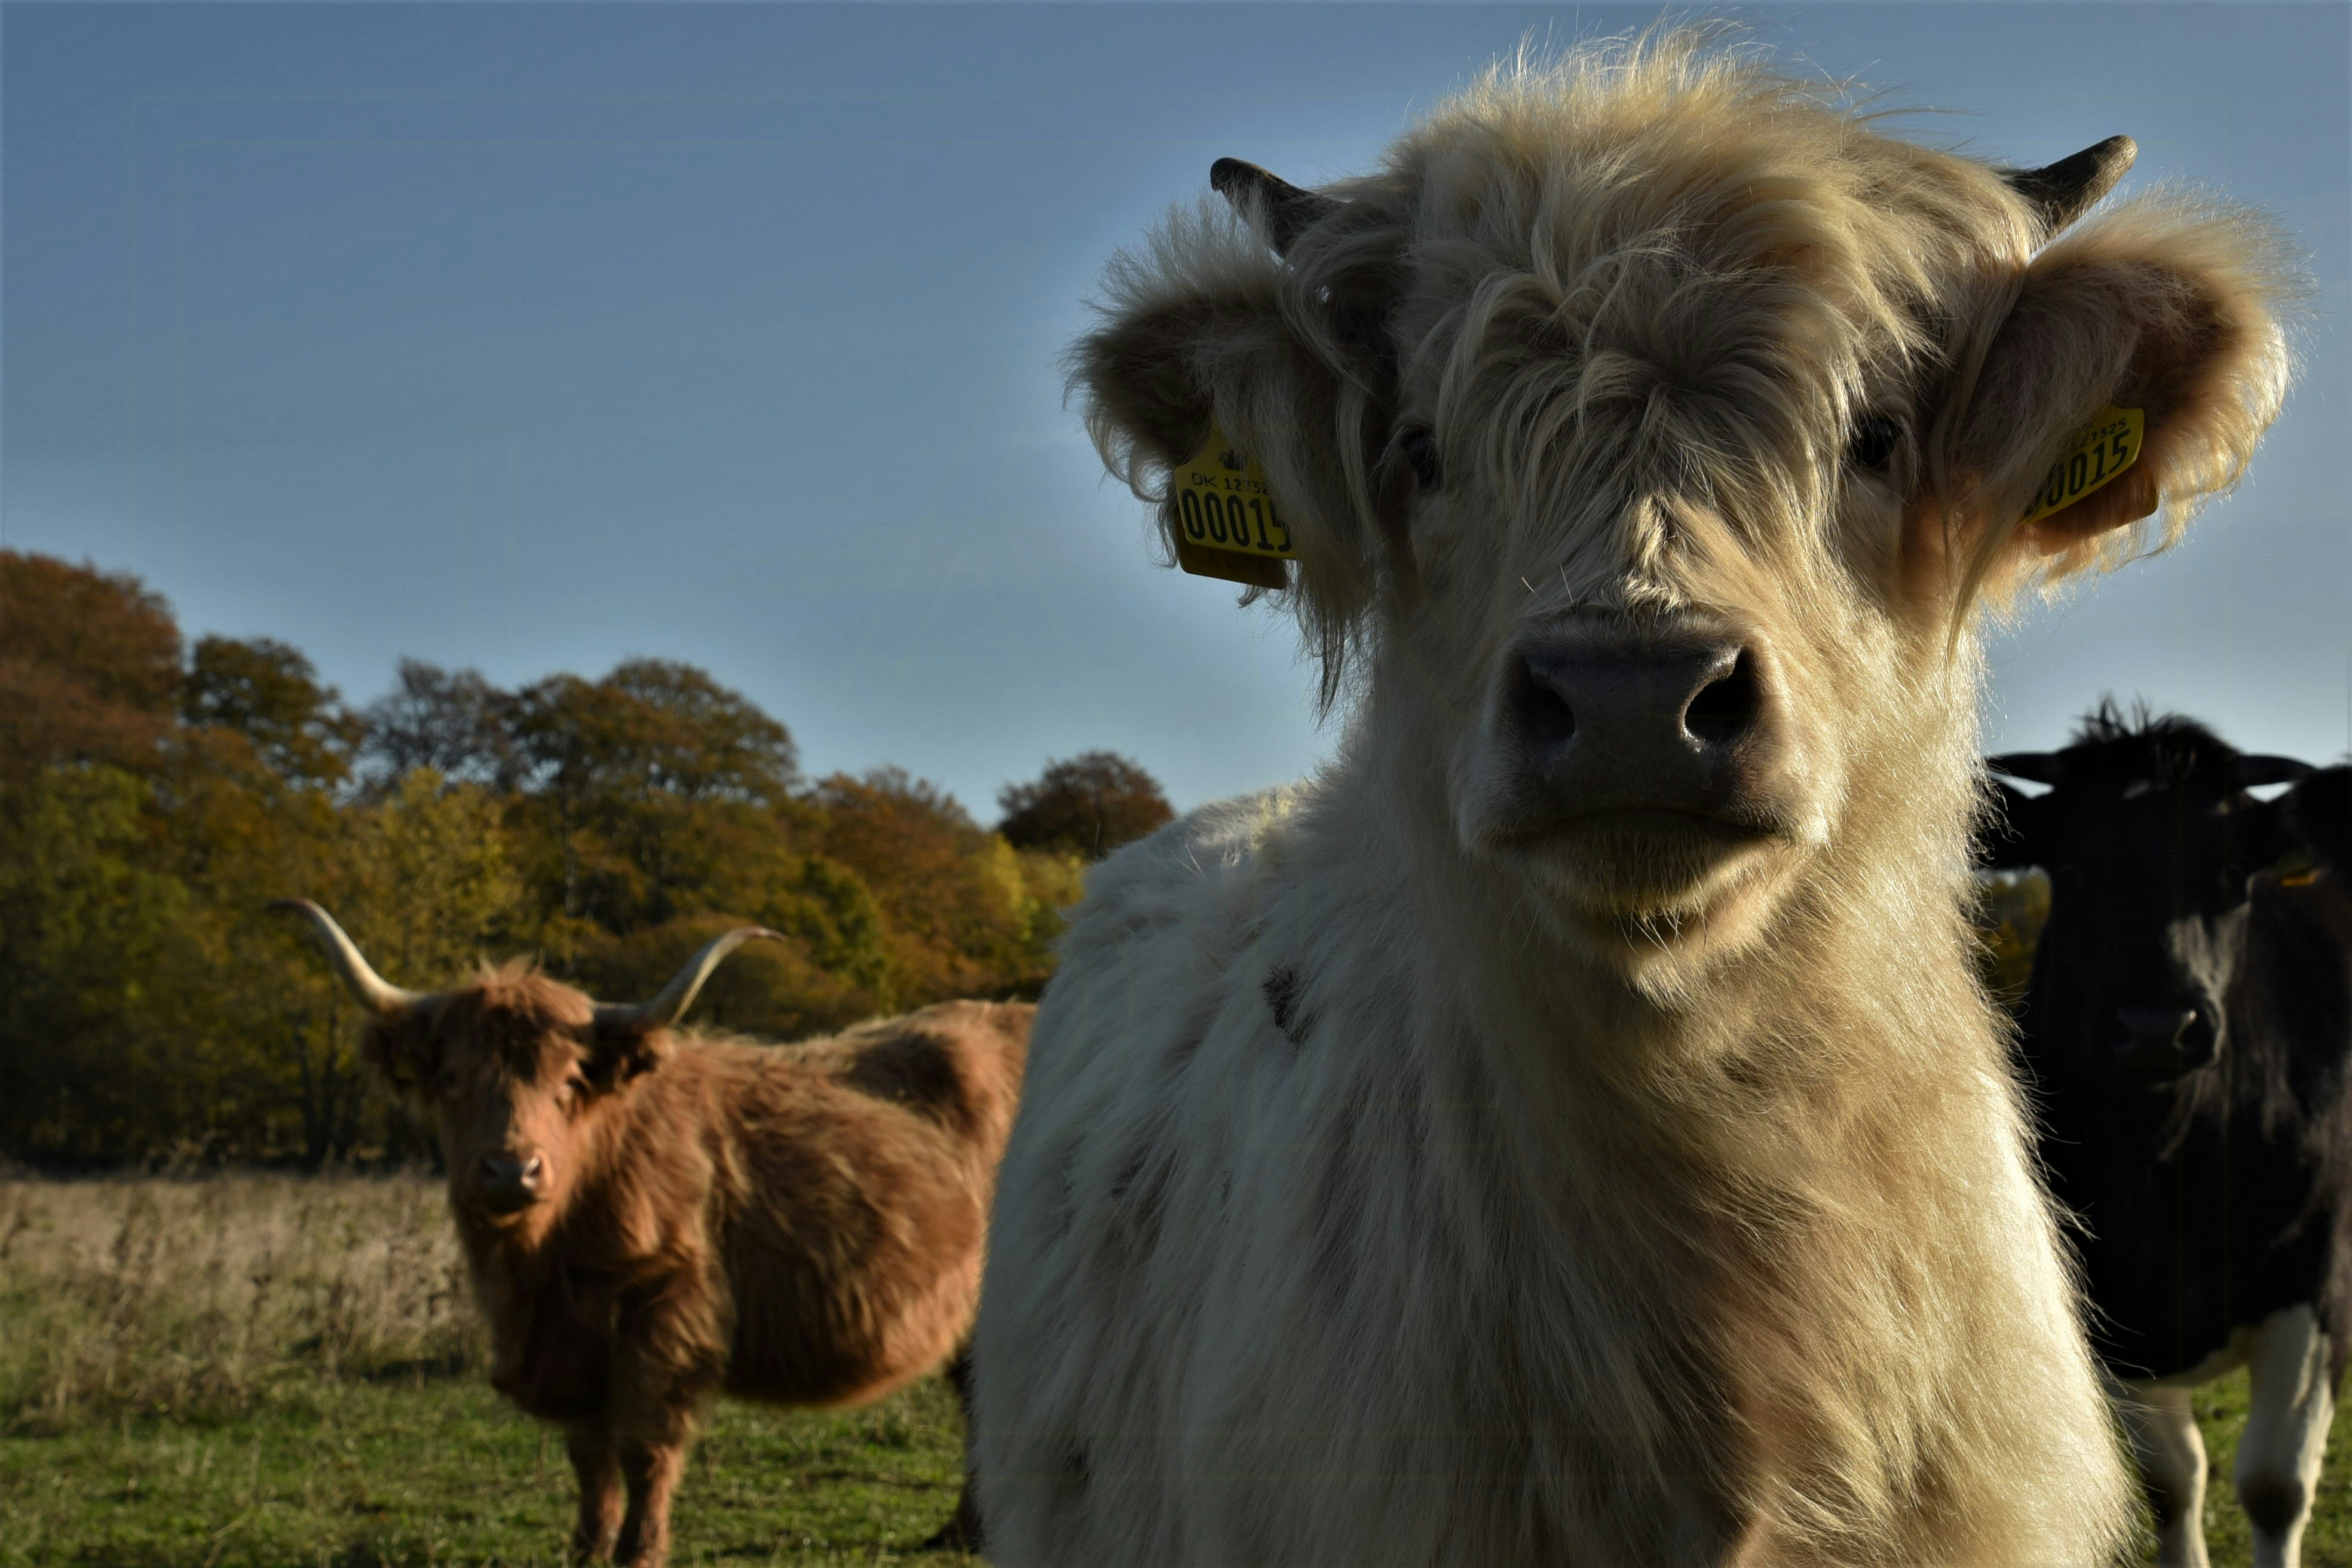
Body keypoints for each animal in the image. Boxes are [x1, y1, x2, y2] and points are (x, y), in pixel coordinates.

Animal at [276, 900, 1026, 1568]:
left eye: (569, 1080)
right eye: (454, 1076)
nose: (512, 1168)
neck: (542, 1267)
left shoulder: (663, 1314)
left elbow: (644, 1447)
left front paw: (640, 1550)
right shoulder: (569, 1344)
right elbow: (589, 1455)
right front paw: (586, 1549)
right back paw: (962, 1531)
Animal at [1985, 713, 2352, 1568]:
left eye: (2232, 873)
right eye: (2076, 869)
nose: (2158, 1027)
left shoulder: (2319, 1285)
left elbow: (2274, 1484)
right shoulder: (2108, 1305)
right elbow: (2171, 1483)